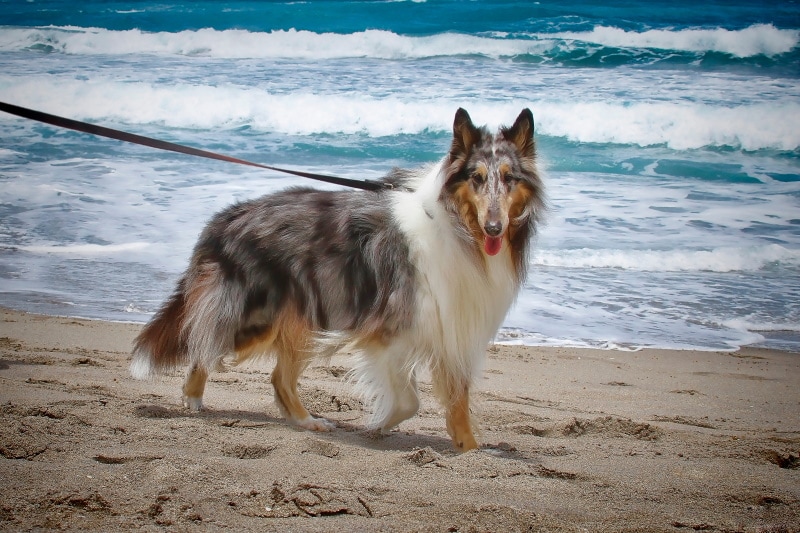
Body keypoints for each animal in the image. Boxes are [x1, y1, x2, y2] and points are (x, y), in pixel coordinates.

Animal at [130, 108, 544, 448]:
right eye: (476, 178)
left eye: (509, 178)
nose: (494, 228)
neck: (457, 228)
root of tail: (226, 218)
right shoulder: (388, 330)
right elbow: (409, 400)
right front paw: (377, 425)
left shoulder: (451, 333)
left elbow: (456, 406)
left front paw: (470, 451)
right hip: (256, 317)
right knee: (204, 346)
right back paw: (194, 400)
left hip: (301, 317)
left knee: (278, 377)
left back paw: (306, 422)